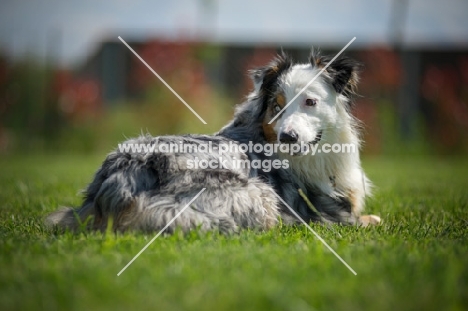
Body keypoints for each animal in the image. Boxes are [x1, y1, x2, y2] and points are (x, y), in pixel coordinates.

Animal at [46, 49, 380, 234]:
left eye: (310, 102)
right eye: (277, 106)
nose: (288, 137)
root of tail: (121, 177)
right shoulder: (328, 210)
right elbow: (361, 218)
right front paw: (371, 219)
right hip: (257, 193)